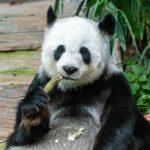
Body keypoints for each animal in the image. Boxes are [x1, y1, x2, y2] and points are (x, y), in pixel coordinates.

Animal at [6, 6, 150, 150]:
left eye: (84, 51)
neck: (74, 88)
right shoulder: (43, 81)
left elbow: (118, 124)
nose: (69, 69)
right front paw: (35, 113)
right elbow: (20, 132)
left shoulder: (113, 84)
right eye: (60, 49)